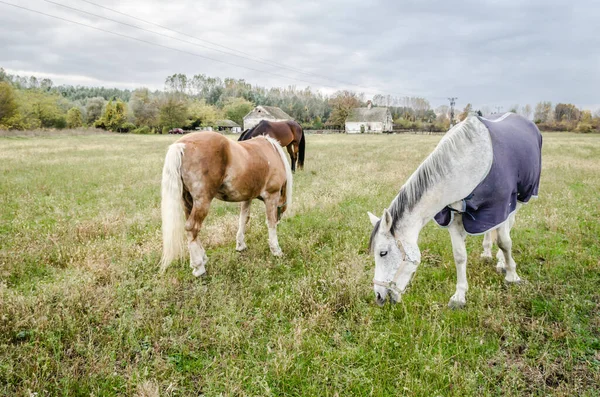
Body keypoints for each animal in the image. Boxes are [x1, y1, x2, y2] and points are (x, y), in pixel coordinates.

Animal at [158, 130, 292, 276]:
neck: (272, 153)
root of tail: (181, 145)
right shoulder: (271, 196)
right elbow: (270, 223)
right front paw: (276, 250)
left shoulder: (247, 197)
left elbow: (243, 219)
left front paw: (240, 245)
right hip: (202, 202)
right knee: (193, 227)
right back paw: (199, 267)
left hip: (187, 202)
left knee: (191, 229)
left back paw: (202, 258)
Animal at [368, 113, 540, 308]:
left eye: (383, 253)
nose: (378, 296)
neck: (467, 163)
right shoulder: (453, 216)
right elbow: (459, 255)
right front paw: (459, 296)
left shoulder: (501, 207)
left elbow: (505, 243)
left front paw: (512, 276)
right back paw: (487, 253)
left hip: (520, 198)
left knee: (509, 226)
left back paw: (502, 262)